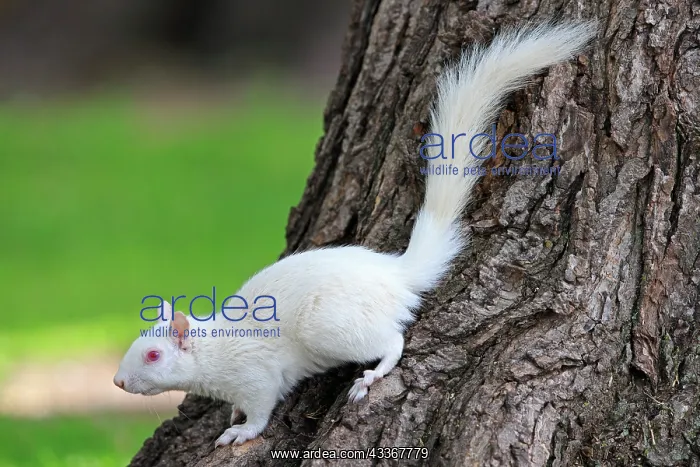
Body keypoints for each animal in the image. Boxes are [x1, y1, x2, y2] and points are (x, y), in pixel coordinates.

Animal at [114, 22, 596, 447]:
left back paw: (374, 375)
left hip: (334, 327)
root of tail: (396, 275)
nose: (118, 381)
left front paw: (242, 430)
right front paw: (231, 414)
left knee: (393, 341)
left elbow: (261, 407)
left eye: (154, 355)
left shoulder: (256, 373)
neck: (215, 349)